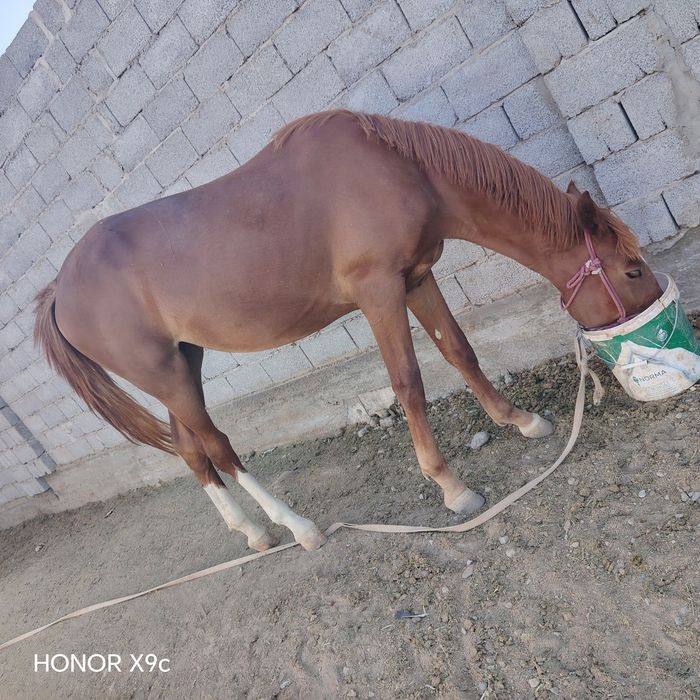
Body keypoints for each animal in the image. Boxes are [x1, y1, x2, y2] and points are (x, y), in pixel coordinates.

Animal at [34, 110, 661, 552]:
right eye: (631, 270)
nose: (657, 314)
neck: (401, 171)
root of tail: (60, 288)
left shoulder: (416, 277)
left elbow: (460, 351)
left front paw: (523, 421)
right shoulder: (378, 290)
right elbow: (408, 381)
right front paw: (452, 488)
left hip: (182, 363)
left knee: (191, 450)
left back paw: (254, 535)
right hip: (164, 373)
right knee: (218, 446)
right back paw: (300, 528)